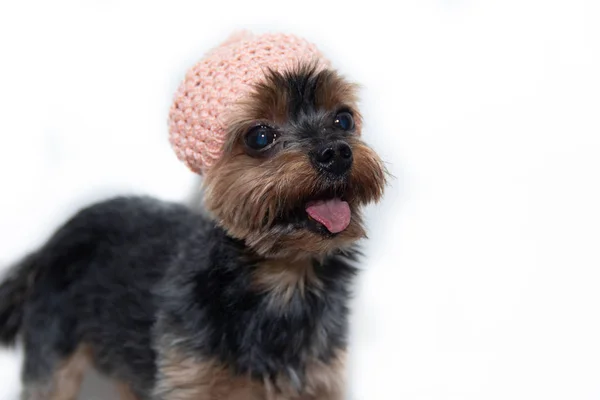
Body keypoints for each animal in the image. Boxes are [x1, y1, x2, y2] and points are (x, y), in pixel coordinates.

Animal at [0, 61, 384, 398]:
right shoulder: (189, 378)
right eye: (260, 137)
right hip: (53, 351)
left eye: (344, 119)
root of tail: (50, 244)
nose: (335, 153)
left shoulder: (318, 379)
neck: (282, 279)